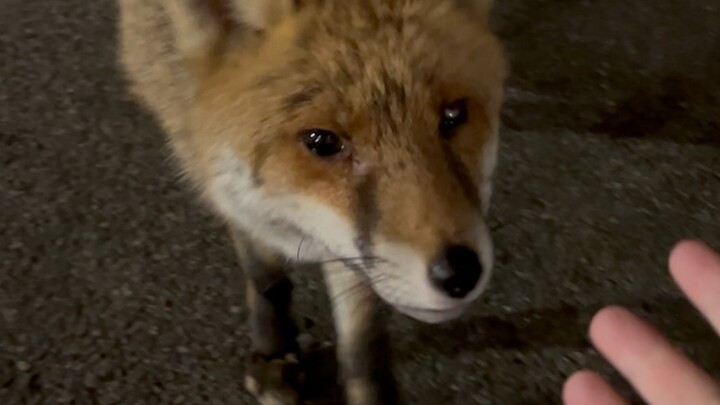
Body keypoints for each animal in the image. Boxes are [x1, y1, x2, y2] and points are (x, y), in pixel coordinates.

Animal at [117, 0, 507, 403]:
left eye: (453, 115)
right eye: (321, 141)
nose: (460, 273)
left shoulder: (350, 249)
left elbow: (361, 337)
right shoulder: (218, 180)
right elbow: (265, 277)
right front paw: (273, 351)